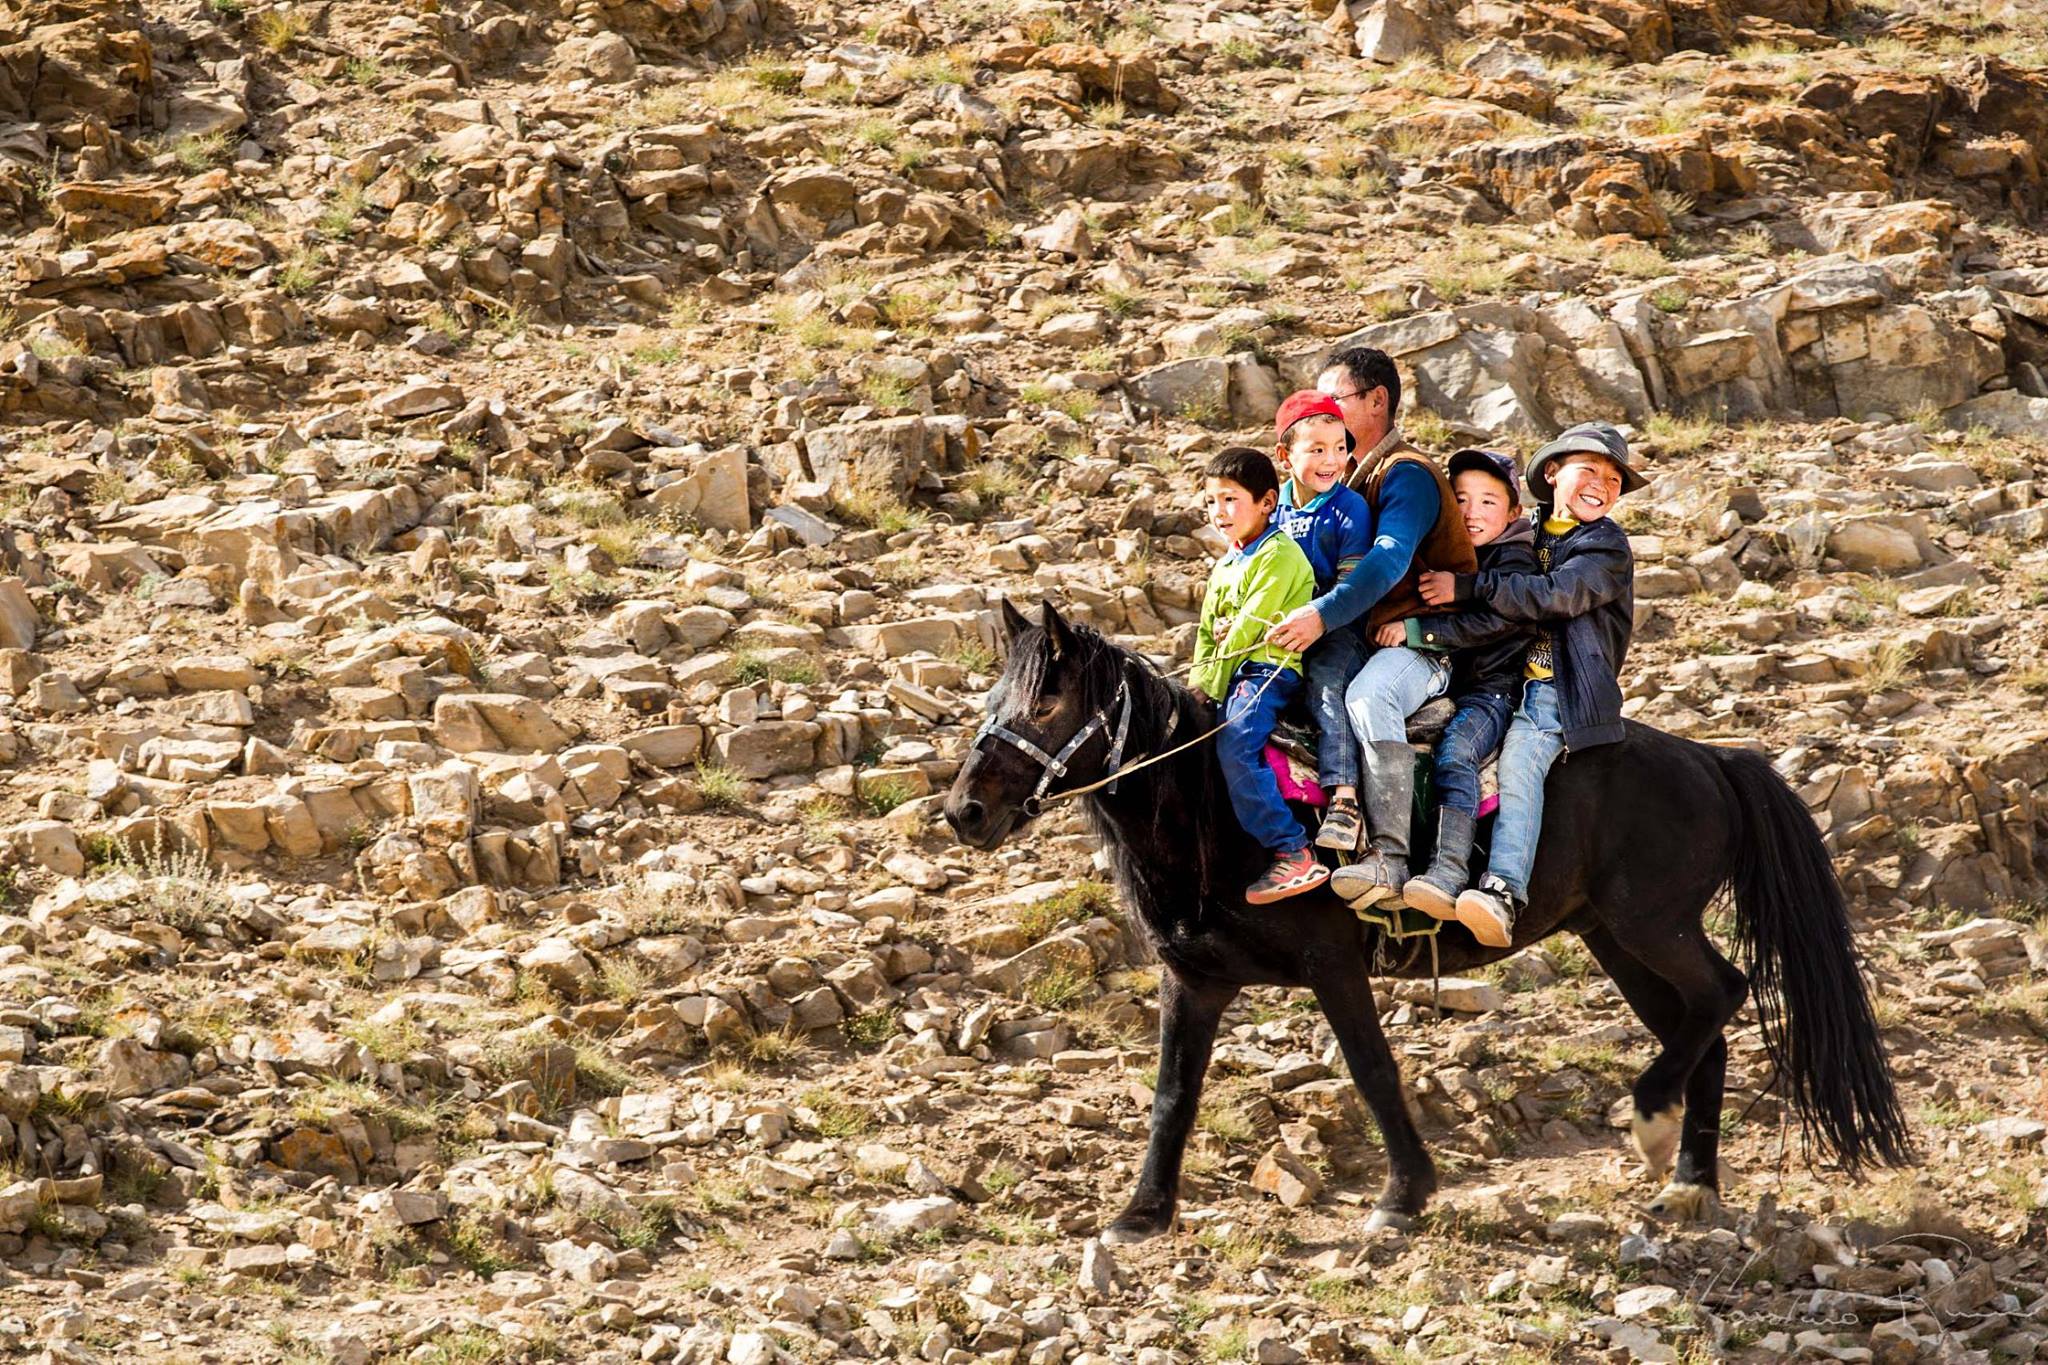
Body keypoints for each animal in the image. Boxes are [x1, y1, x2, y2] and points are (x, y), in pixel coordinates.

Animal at [950, 601, 1908, 1244]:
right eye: (992, 696)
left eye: (1045, 705)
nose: (964, 810)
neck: (1217, 811)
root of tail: (1713, 760)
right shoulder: (1195, 979)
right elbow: (1172, 1095)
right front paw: (1141, 1213)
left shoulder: (1334, 964)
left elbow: (1373, 1071)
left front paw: (1403, 1194)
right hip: (1616, 938)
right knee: (1701, 1025)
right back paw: (1688, 1181)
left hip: (1652, 926)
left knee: (1724, 993)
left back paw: (1650, 1122)